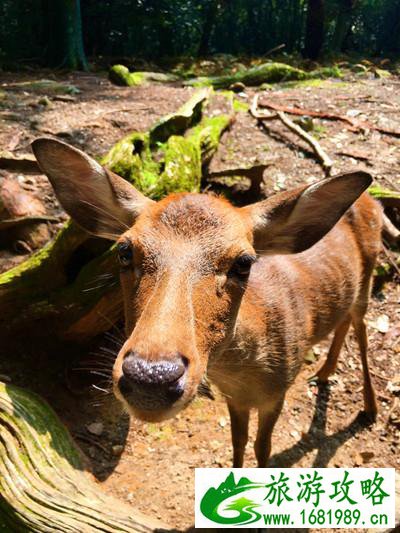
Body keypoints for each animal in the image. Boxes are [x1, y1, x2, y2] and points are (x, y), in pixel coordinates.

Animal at [32, 137, 382, 466]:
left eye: (244, 262)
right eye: (124, 250)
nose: (151, 377)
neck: (247, 376)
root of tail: (371, 199)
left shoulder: (278, 392)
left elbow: (263, 448)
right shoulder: (234, 398)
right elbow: (238, 442)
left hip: (369, 274)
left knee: (362, 330)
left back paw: (369, 408)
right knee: (345, 321)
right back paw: (324, 372)